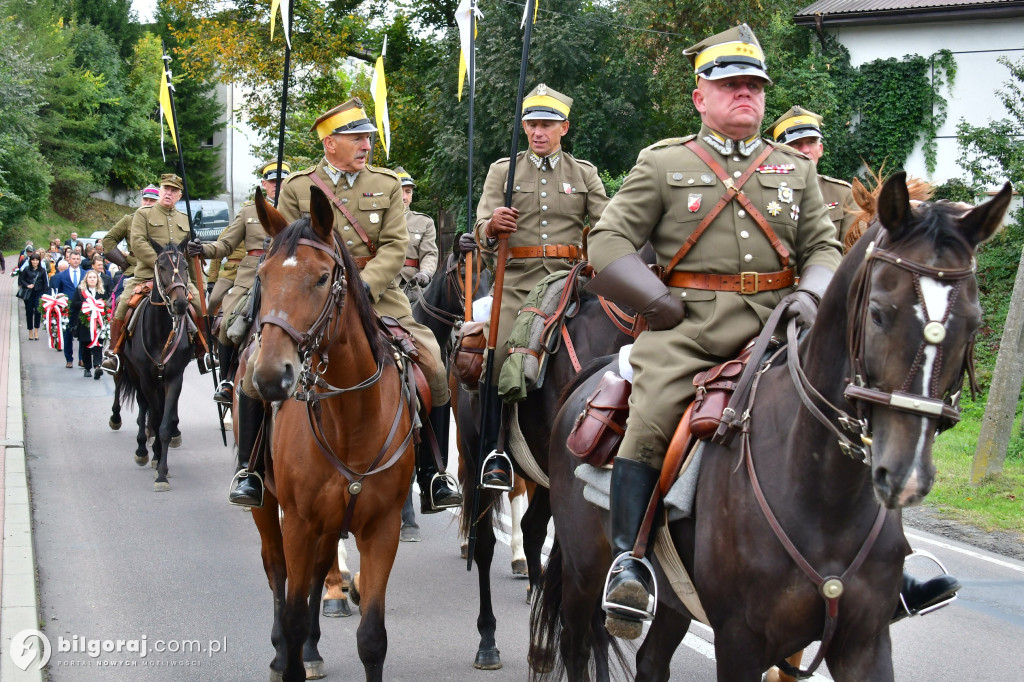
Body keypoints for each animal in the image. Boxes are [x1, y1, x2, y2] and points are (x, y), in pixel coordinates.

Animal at [115, 238, 195, 489]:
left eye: (186, 267)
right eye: (161, 266)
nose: (180, 304)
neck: (161, 333)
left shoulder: (174, 378)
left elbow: (164, 426)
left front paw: (162, 471)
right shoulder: (147, 379)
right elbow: (155, 416)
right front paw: (156, 458)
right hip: (134, 374)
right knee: (143, 409)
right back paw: (142, 449)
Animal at [243, 186, 415, 679]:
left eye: (322, 278)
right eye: (262, 276)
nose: (269, 376)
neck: (350, 421)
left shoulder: (382, 529)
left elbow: (372, 638)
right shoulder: (299, 523)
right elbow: (294, 613)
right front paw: (289, 653)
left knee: (319, 574)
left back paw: (313, 650)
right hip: (268, 507)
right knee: (277, 571)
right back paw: (282, 653)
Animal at [532, 173, 1011, 675]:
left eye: (973, 323)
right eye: (879, 312)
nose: (906, 475)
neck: (824, 494)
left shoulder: (864, 643)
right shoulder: (740, 641)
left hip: (673, 598)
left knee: (651, 660)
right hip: (584, 573)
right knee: (579, 644)